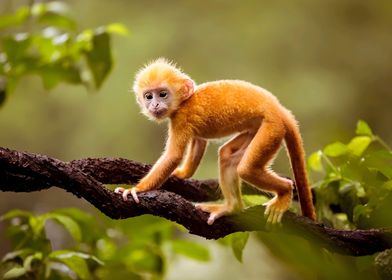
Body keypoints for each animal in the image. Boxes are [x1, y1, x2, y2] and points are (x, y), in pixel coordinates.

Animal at [115, 58, 316, 225]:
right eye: (149, 96)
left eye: (163, 94)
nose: (154, 105)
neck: (184, 101)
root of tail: (279, 109)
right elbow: (199, 142)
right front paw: (180, 173)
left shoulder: (181, 118)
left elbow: (173, 156)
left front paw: (136, 190)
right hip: (259, 129)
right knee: (227, 156)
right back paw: (232, 208)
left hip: (272, 128)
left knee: (247, 169)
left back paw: (285, 191)